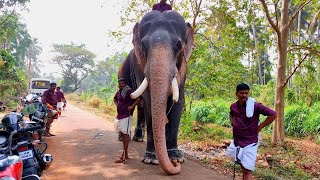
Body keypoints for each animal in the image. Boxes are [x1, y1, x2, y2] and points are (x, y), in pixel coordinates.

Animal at [117, 9, 192, 174]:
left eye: (178, 44)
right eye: (144, 45)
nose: (175, 166)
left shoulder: (184, 68)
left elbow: (179, 102)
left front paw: (177, 157)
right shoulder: (140, 66)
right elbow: (149, 100)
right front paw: (151, 159)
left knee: (140, 106)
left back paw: (138, 138)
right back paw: (123, 137)